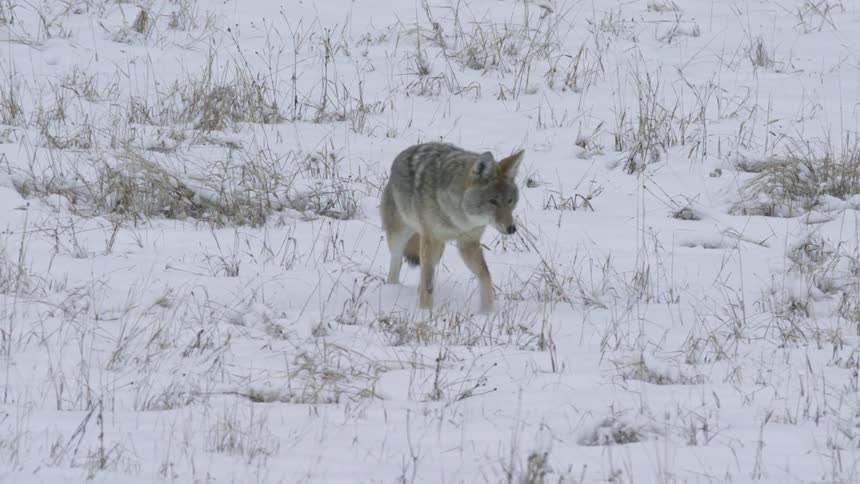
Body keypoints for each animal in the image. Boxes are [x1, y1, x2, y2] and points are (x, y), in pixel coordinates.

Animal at [380, 142, 524, 312]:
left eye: (510, 201)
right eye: (493, 201)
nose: (511, 229)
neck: (459, 219)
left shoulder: (469, 244)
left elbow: (485, 276)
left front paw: (487, 311)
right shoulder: (431, 240)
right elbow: (428, 284)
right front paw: (425, 311)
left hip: (438, 250)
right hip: (400, 239)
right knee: (397, 263)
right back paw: (392, 289)